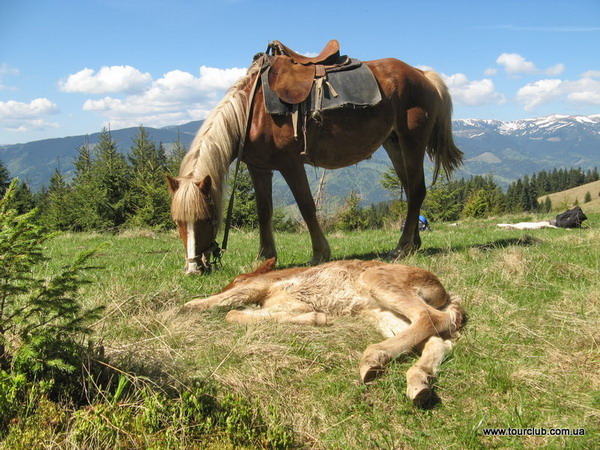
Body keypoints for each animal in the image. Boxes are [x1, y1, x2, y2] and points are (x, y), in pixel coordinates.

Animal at [166, 48, 462, 274]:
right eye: (177, 221)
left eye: (206, 218)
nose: (193, 269)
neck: (251, 112)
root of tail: (422, 74)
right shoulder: (259, 167)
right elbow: (264, 211)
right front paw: (265, 256)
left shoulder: (290, 164)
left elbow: (306, 206)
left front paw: (320, 253)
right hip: (394, 143)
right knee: (412, 190)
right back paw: (413, 243)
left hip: (412, 141)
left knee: (417, 190)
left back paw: (401, 248)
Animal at [184, 258, 464, 406]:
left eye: (236, 278)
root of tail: (444, 292)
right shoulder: (292, 302)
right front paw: (317, 318)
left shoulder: (257, 285)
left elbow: (228, 307)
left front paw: (188, 305)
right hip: (383, 313)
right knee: (438, 340)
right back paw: (416, 382)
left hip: (380, 282)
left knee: (431, 317)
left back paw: (373, 357)